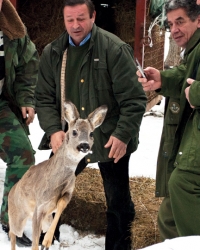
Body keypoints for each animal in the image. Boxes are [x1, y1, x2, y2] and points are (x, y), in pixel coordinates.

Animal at [7, 100, 108, 249]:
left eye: (91, 134)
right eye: (74, 132)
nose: (84, 146)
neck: (58, 180)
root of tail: (11, 192)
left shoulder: (67, 194)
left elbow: (60, 206)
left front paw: (47, 241)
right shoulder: (39, 206)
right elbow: (35, 241)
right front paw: (43, 242)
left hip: (43, 218)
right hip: (17, 216)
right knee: (12, 233)